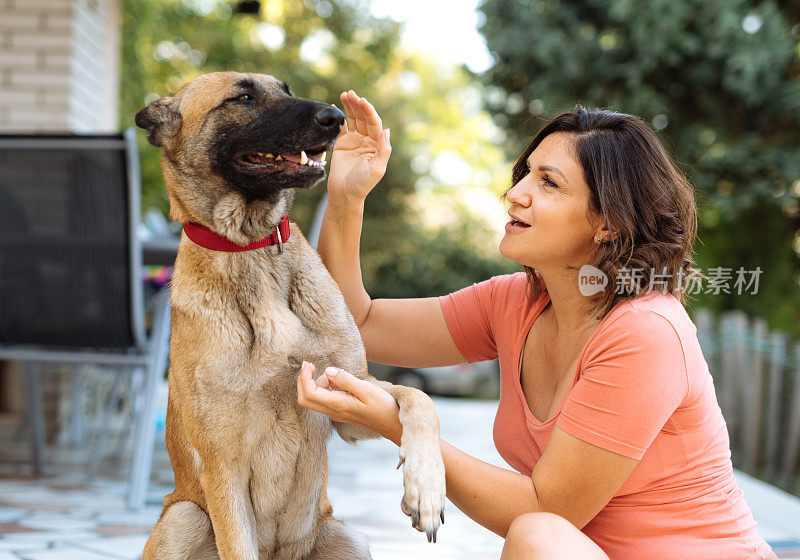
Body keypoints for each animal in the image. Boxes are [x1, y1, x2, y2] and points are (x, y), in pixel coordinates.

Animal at [131, 71, 444, 560]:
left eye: (287, 91)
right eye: (243, 97)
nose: (335, 118)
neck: (252, 246)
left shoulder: (350, 395)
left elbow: (419, 397)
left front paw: (426, 489)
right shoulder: (223, 467)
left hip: (350, 539)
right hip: (183, 518)